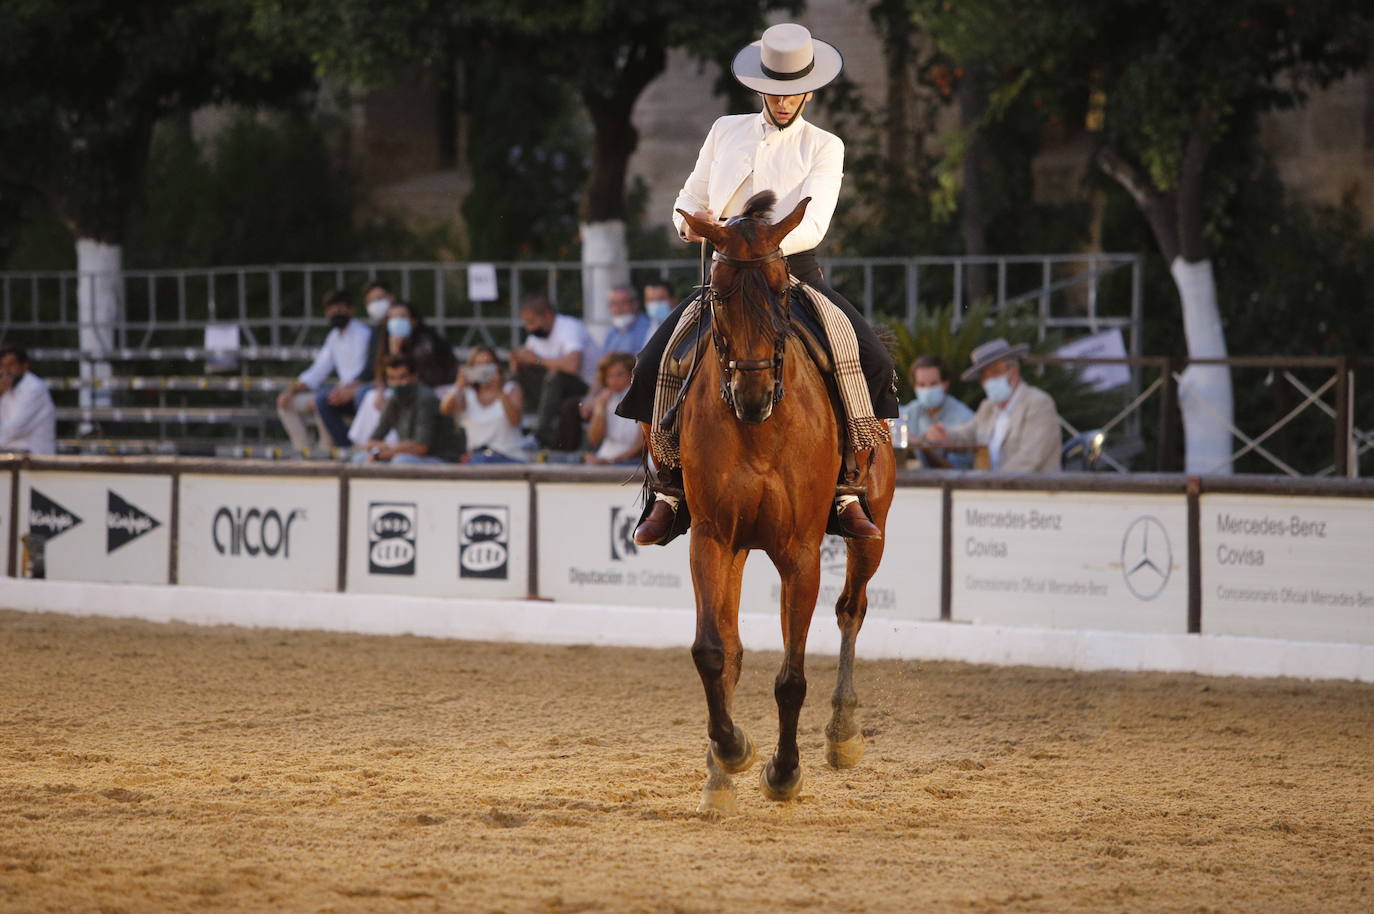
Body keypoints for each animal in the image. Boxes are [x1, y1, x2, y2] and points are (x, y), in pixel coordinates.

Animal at [670, 192, 895, 813]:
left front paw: (784, 771)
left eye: (781, 288)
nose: (751, 394)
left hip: (871, 533)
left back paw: (842, 734)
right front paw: (729, 754)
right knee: (732, 648)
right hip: (739, 548)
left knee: (851, 609)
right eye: (719, 292)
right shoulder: (712, 537)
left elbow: (792, 677)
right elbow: (712, 652)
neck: (758, 429)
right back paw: (720, 775)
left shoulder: (799, 551)